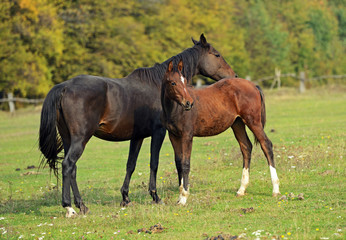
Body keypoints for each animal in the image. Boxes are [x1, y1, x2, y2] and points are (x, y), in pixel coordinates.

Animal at [38, 34, 238, 218]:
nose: (234, 76)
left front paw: (125, 198)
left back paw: (82, 205)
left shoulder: (138, 136)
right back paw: (70, 207)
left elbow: (131, 165)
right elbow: (154, 163)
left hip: (68, 139)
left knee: (72, 169)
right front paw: (156, 197)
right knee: (68, 164)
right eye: (217, 55)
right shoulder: (159, 132)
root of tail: (64, 87)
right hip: (80, 139)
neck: (159, 85)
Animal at [161, 60, 280, 204]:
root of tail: (254, 85)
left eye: (184, 81)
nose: (189, 103)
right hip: (237, 123)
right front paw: (179, 198)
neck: (175, 110)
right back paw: (241, 190)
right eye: (173, 83)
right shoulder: (173, 136)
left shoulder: (187, 136)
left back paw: (275, 189)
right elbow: (178, 163)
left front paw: (184, 198)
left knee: (266, 144)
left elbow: (185, 163)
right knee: (246, 147)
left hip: (253, 122)